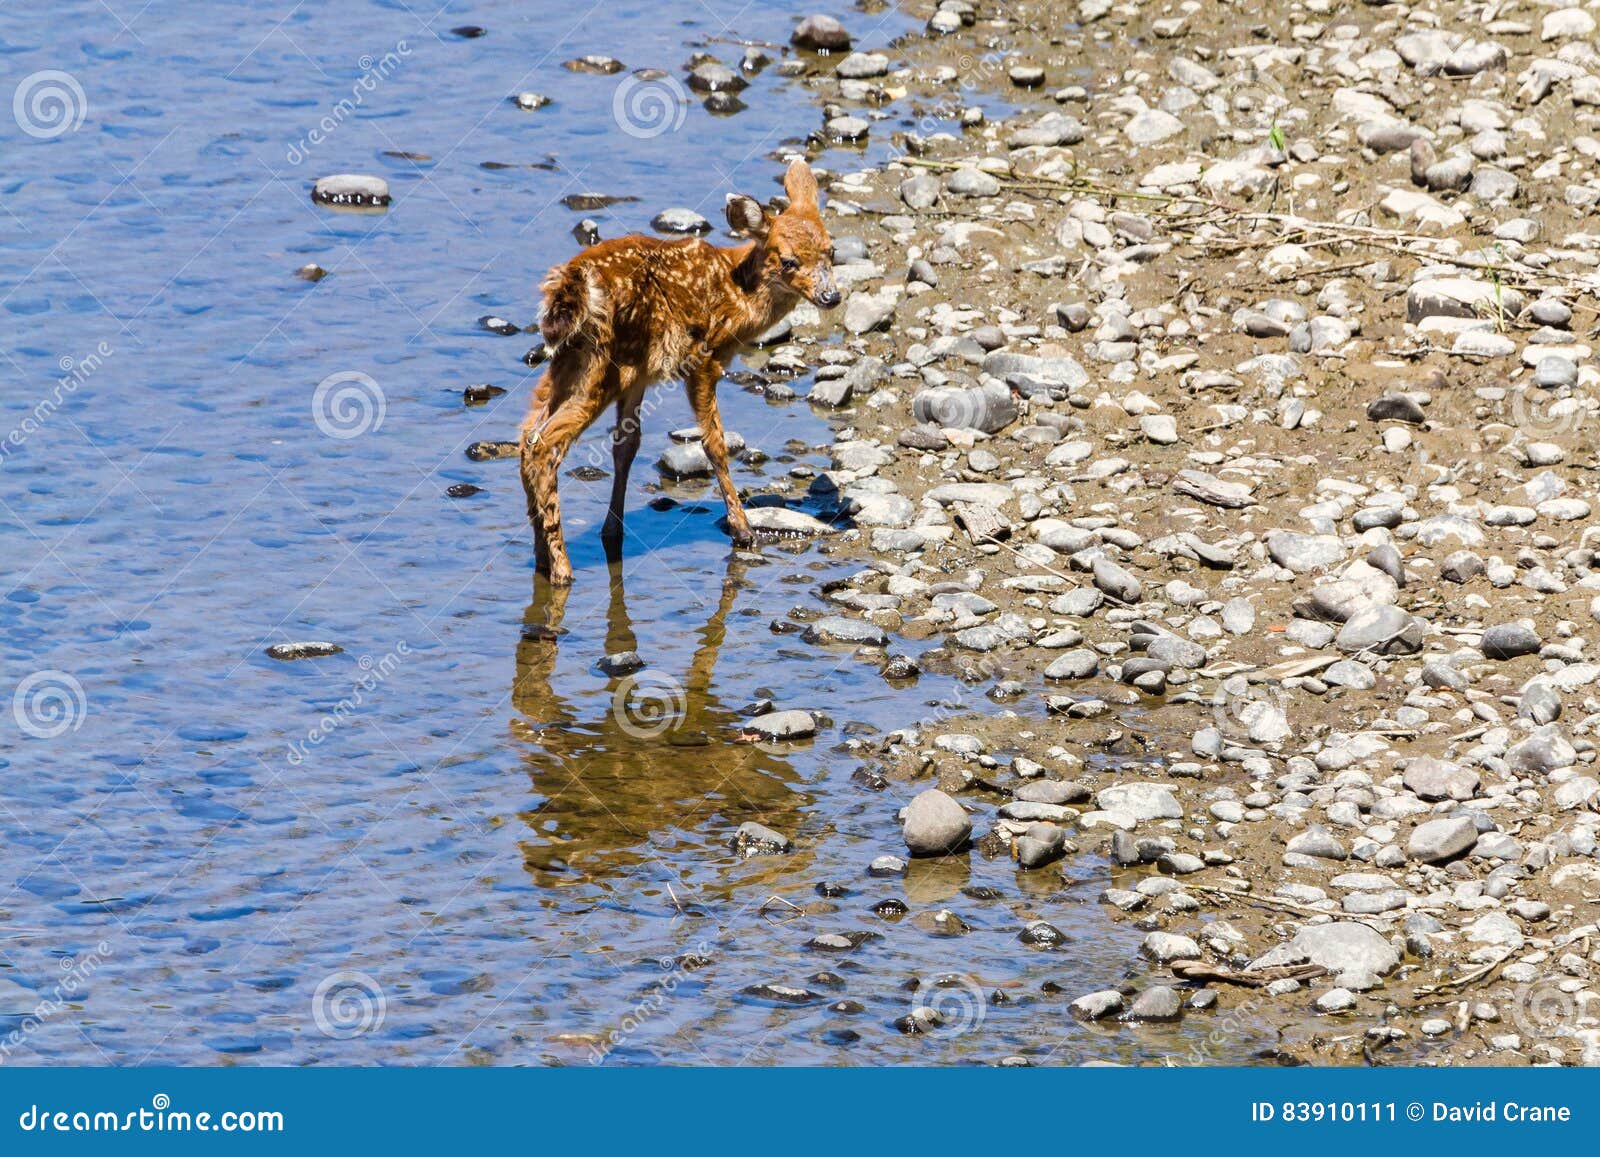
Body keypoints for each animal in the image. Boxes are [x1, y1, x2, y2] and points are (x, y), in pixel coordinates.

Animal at [518, 157, 838, 582]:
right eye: (789, 261)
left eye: (832, 251)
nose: (831, 296)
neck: (738, 296)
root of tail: (570, 285)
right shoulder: (703, 359)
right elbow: (714, 443)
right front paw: (743, 531)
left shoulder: (640, 374)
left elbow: (627, 446)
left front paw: (613, 529)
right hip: (601, 367)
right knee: (543, 444)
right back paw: (562, 569)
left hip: (573, 361)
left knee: (526, 436)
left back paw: (541, 556)